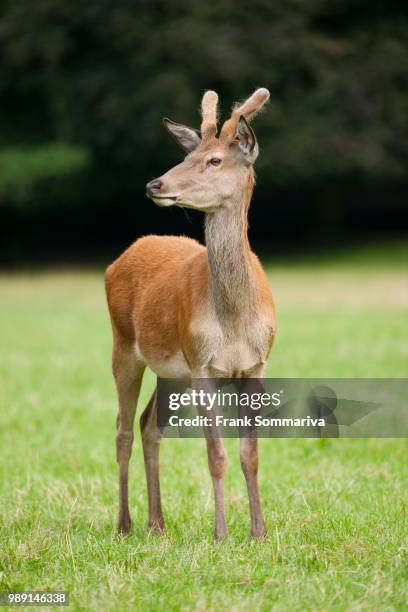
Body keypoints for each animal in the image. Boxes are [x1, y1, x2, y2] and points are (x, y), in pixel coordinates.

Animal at [105, 87, 278, 540]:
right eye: (186, 154)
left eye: (213, 160)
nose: (155, 184)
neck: (234, 323)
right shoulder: (203, 363)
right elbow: (215, 454)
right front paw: (221, 535)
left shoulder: (257, 363)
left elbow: (250, 452)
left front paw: (258, 532)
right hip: (123, 346)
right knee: (123, 429)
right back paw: (125, 524)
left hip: (171, 372)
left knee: (149, 425)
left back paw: (157, 523)